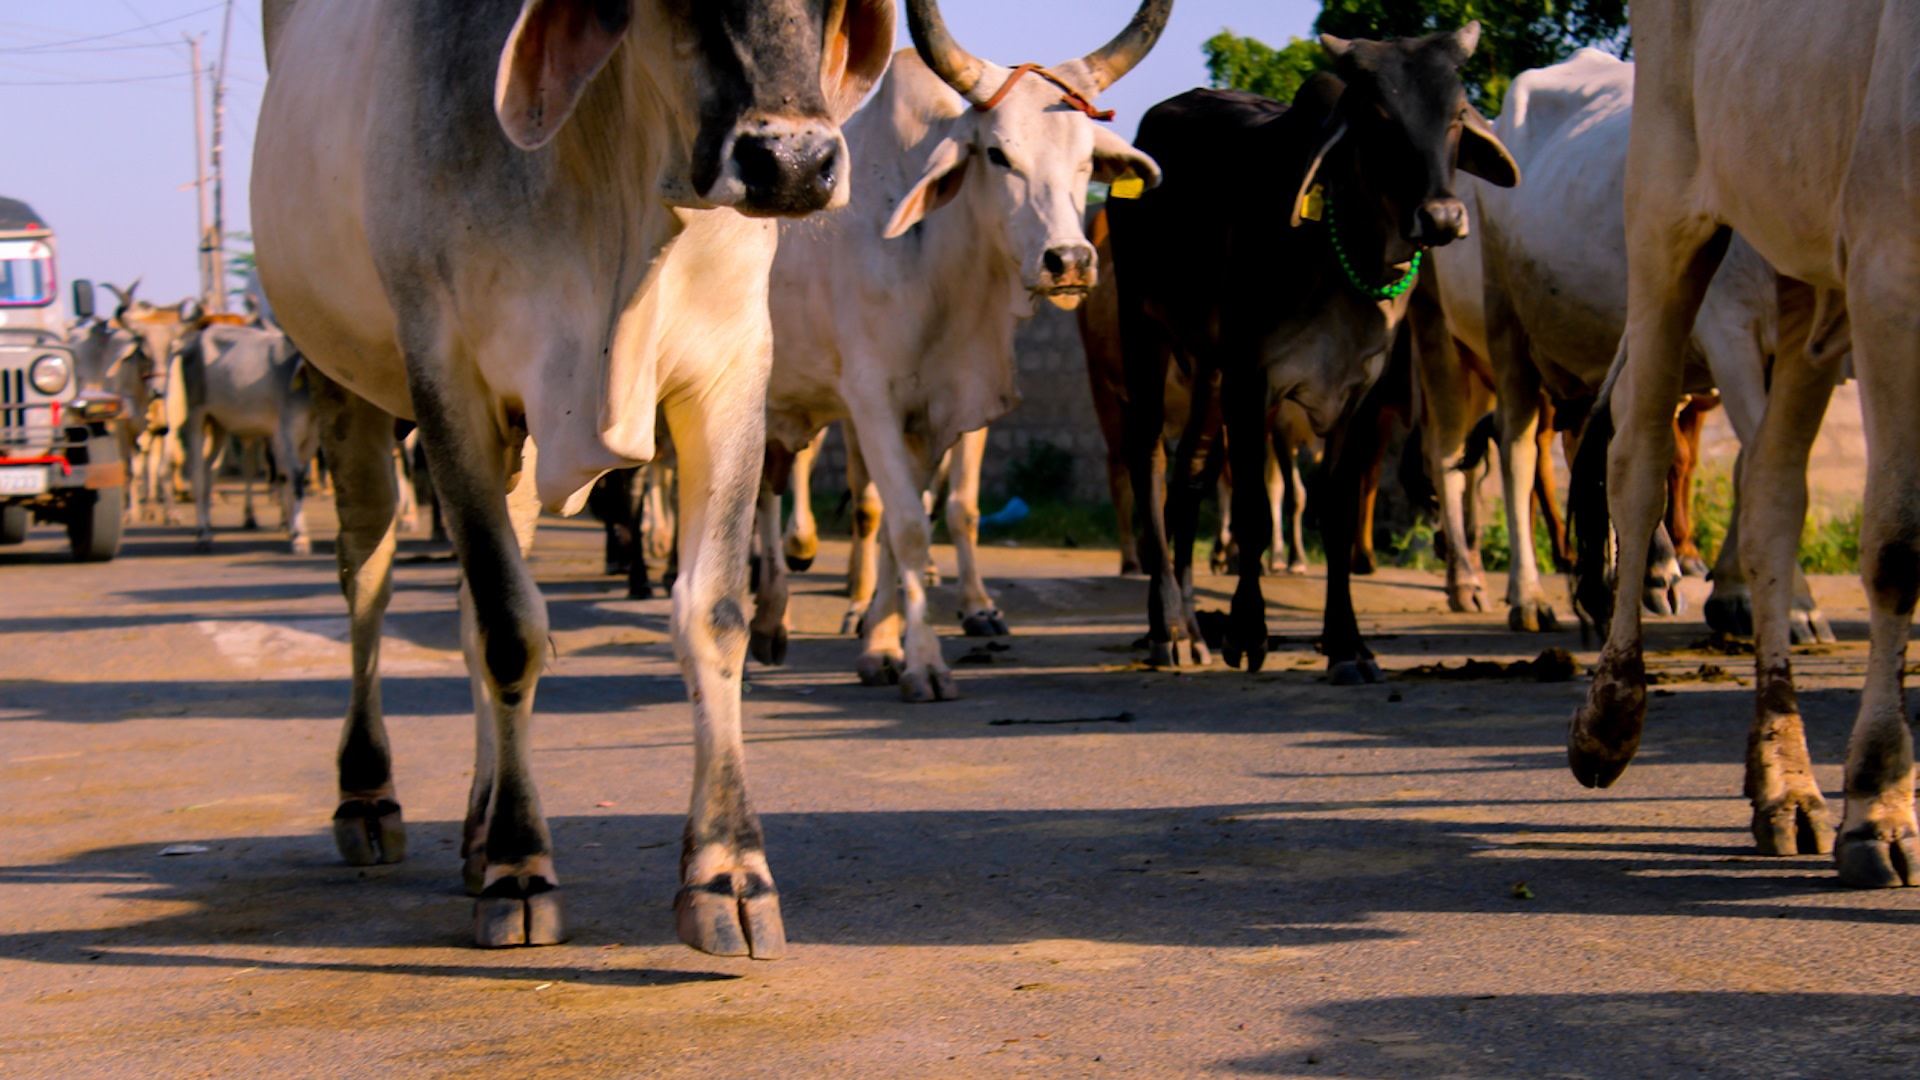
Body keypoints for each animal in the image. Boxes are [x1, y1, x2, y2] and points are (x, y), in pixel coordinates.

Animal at [251, 0, 894, 945]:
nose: (793, 163)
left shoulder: (731, 368)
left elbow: (715, 615)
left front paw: (729, 871)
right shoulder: (448, 379)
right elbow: (511, 630)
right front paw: (521, 867)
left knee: (467, 604)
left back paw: (477, 828)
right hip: (349, 385)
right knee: (369, 577)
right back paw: (370, 797)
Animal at [748, 2, 1167, 699]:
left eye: (1087, 158)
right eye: (997, 154)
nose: (1070, 261)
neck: (937, 263)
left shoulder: (938, 413)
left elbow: (915, 523)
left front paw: (881, 648)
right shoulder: (873, 403)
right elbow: (906, 526)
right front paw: (922, 662)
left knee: (769, 486)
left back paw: (770, 621)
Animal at [1113, 25, 1512, 676]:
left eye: (1456, 114)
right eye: (1380, 117)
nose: (1442, 216)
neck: (1343, 253)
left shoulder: (1361, 395)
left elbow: (1339, 511)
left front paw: (1346, 643)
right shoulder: (1253, 380)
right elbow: (1254, 509)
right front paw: (1247, 632)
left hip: (1209, 371)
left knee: (1189, 477)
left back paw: (1193, 626)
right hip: (1143, 329)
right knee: (1147, 464)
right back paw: (1167, 628)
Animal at [1574, 2, 1920, 883]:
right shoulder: (1891, 277)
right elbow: (1898, 549)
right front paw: (1880, 808)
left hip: (1800, 279)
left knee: (1769, 496)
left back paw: (1784, 784)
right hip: (1666, 207)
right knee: (1636, 460)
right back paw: (1610, 715)